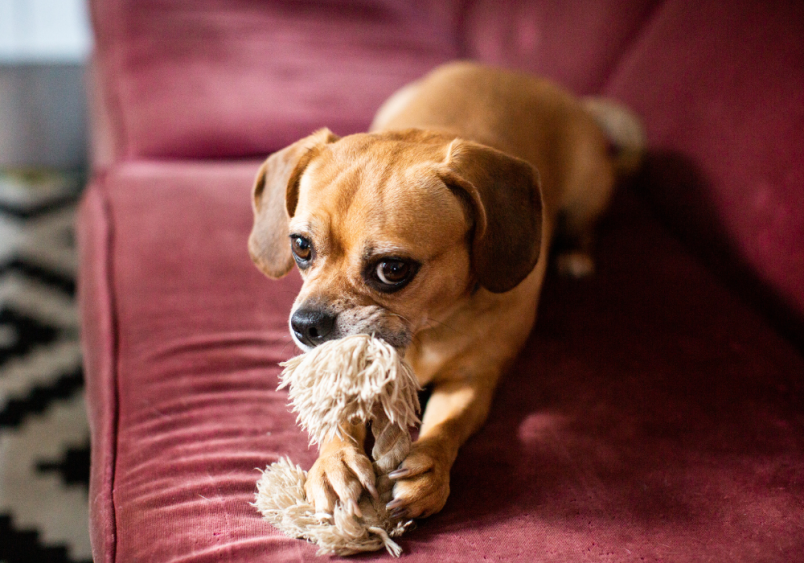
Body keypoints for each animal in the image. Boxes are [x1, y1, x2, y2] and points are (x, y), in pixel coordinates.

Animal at [248, 61, 644, 520]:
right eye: (300, 246)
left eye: (393, 269)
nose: (306, 325)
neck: (423, 334)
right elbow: (339, 417)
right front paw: (336, 462)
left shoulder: (471, 381)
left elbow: (446, 426)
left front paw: (428, 468)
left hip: (586, 192)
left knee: (584, 227)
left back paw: (575, 255)